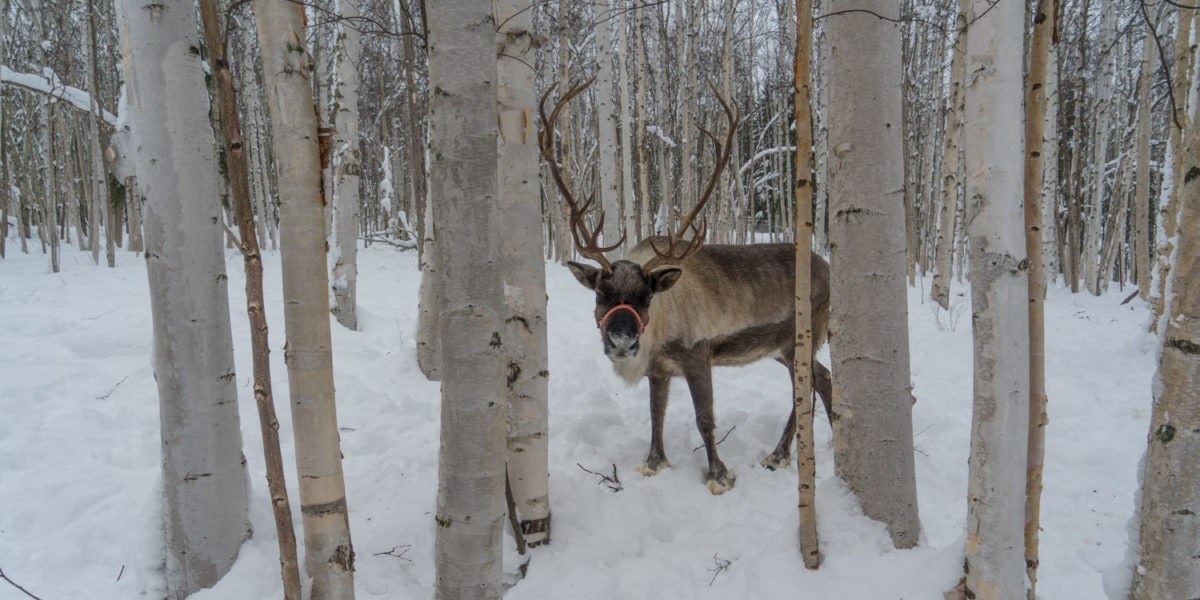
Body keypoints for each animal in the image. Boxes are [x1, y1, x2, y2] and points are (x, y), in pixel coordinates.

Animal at [539, 78, 833, 495]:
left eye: (646, 297)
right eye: (600, 294)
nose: (622, 343)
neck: (659, 330)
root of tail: (826, 266)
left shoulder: (698, 354)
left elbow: (704, 417)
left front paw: (719, 476)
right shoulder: (658, 369)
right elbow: (655, 414)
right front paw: (654, 463)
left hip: (800, 341)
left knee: (806, 386)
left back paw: (777, 455)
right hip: (782, 348)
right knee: (823, 378)